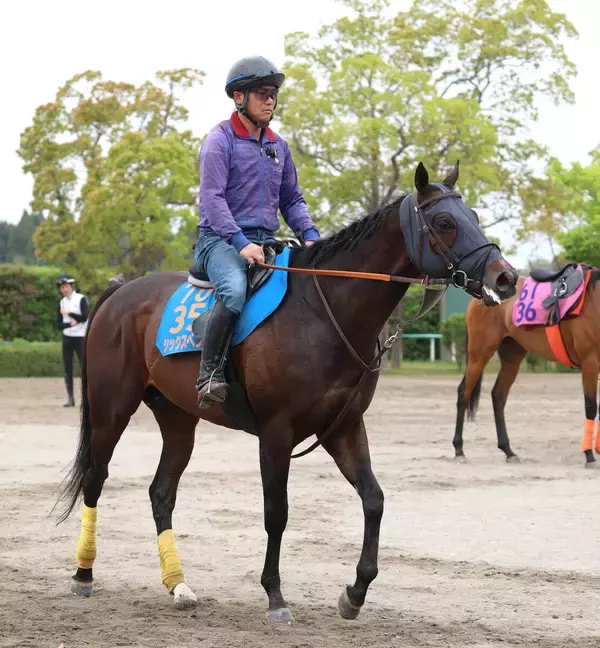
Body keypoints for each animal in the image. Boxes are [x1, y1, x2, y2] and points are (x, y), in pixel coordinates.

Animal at [55, 162, 518, 623]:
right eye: (444, 222)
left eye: (474, 216)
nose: (506, 277)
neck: (323, 312)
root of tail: (120, 291)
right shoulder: (276, 432)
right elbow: (276, 513)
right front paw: (275, 595)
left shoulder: (344, 427)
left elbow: (374, 499)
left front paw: (355, 592)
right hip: (112, 409)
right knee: (95, 478)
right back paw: (83, 573)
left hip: (177, 418)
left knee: (161, 493)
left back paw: (177, 583)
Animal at [453, 267, 600, 467]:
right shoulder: (590, 362)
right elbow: (591, 406)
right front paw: (589, 455)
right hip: (479, 354)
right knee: (464, 393)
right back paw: (459, 449)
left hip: (512, 357)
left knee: (498, 395)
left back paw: (508, 450)